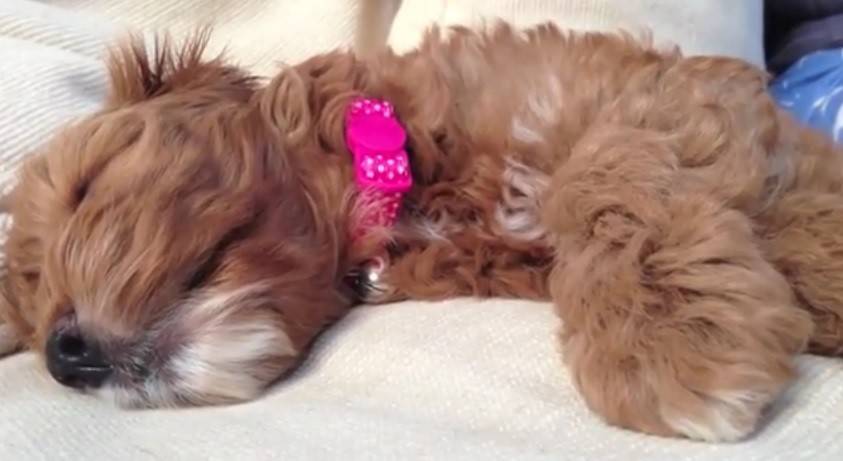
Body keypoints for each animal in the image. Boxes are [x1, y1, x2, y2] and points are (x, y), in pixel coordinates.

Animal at [1, 23, 843, 440]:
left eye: (86, 184)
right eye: (33, 318)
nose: (63, 355)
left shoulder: (661, 96)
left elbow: (605, 173)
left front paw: (665, 344)